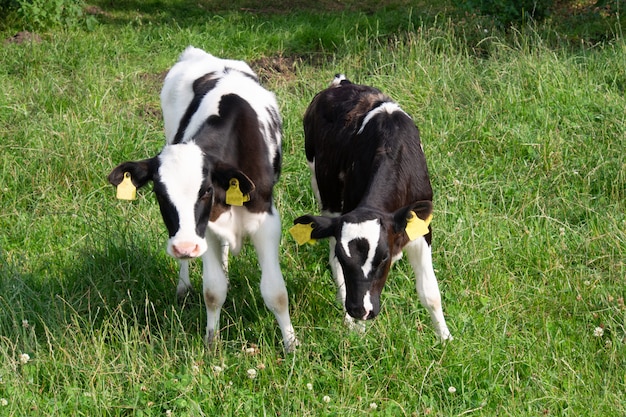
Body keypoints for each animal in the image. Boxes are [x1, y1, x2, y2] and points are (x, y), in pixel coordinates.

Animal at [109, 45, 298, 352]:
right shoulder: (204, 227)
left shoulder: (266, 221)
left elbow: (276, 292)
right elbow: (213, 290)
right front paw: (212, 341)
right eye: (159, 192)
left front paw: (291, 345)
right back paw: (183, 286)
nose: (185, 247)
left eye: (207, 190)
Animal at [292, 75, 448, 340]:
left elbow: (430, 292)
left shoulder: (422, 228)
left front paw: (445, 338)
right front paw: (359, 332)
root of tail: (342, 83)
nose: (360, 310)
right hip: (323, 188)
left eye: (383, 257)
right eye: (345, 258)